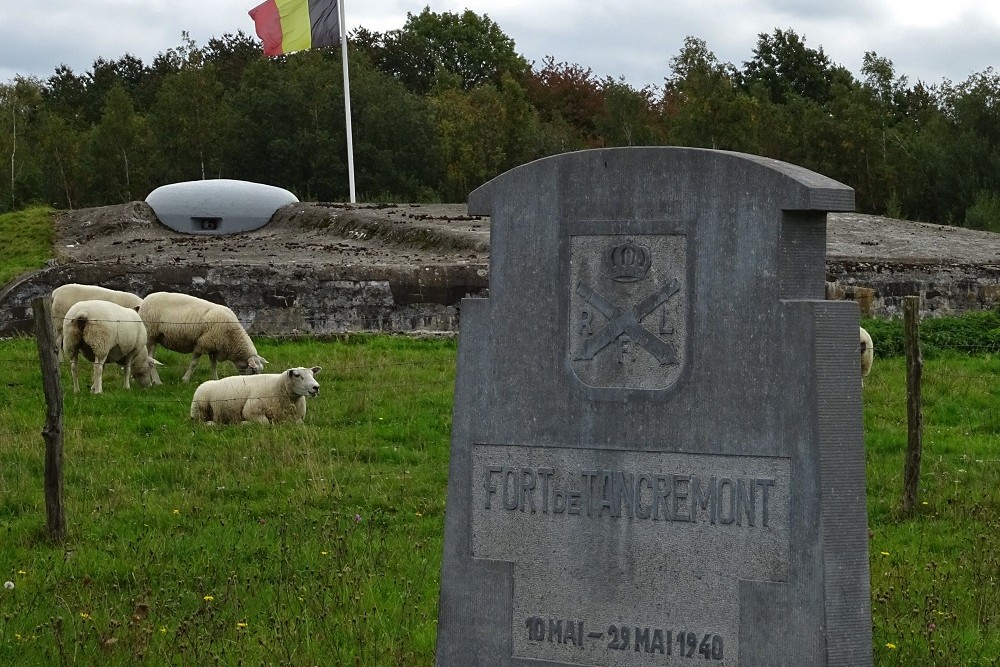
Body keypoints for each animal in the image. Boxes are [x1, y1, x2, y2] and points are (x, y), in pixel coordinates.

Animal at [139, 290, 270, 384]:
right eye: (253, 370)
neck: (232, 338)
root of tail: (145, 300)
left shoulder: (214, 346)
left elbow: (214, 365)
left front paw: (215, 379)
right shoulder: (202, 344)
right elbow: (194, 363)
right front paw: (185, 380)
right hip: (151, 334)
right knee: (150, 359)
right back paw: (157, 381)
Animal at [189, 368, 322, 426]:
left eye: (312, 374)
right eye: (297, 375)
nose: (316, 387)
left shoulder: (297, 418)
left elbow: (298, 423)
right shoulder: (251, 411)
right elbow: (265, 423)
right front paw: (244, 423)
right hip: (199, 409)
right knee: (200, 422)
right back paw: (211, 424)